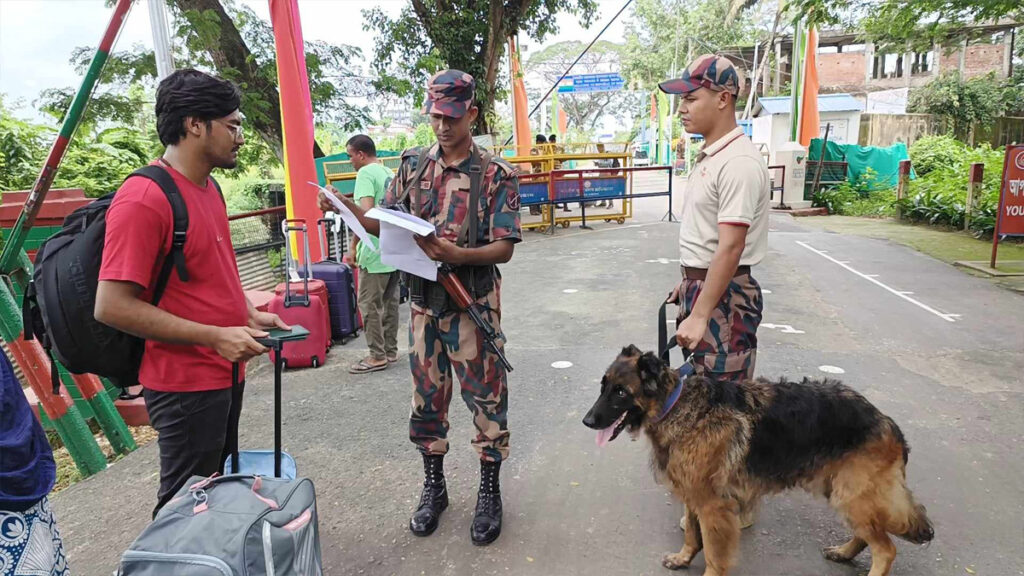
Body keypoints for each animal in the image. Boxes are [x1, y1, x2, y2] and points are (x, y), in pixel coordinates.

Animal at [581, 344, 933, 573]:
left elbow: (713, 555)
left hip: (852, 495)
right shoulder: (694, 494)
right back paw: (845, 553)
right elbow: (692, 535)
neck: (676, 405)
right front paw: (683, 559)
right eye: (603, 386)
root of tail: (885, 420)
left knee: (885, 549)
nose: (587, 421)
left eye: (621, 392)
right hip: (843, 492)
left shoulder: (714, 507)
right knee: (869, 534)